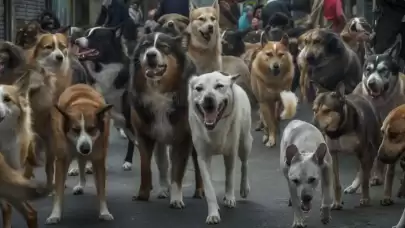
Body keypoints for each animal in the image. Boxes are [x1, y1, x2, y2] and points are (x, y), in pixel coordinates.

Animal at [45, 83, 113, 224]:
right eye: (75, 130)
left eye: (92, 129)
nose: (85, 148)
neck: (82, 103)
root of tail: (80, 84)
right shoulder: (62, 159)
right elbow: (59, 190)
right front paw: (55, 214)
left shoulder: (98, 158)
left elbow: (101, 188)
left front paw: (104, 212)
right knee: (80, 160)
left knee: (83, 161)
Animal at [187, 71, 251, 224]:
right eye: (199, 88)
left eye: (219, 86)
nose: (208, 98)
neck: (215, 128)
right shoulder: (203, 157)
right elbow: (209, 188)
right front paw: (213, 213)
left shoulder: (231, 152)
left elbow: (230, 177)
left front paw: (230, 198)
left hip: (244, 141)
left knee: (245, 163)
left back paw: (244, 188)